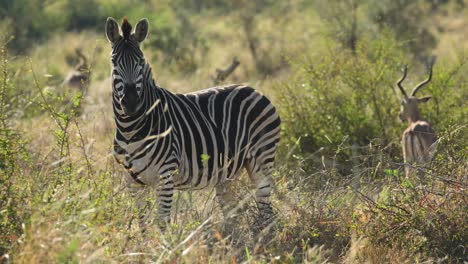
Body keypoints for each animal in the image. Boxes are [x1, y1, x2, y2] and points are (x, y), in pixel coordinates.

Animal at [106, 17, 282, 231]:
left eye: (140, 62)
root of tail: (254, 89)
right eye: (114, 62)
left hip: (261, 158)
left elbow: (162, 223)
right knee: (233, 211)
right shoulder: (132, 181)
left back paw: (267, 236)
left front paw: (167, 241)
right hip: (228, 173)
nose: (131, 103)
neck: (131, 130)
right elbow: (142, 224)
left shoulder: (165, 176)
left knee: (266, 209)